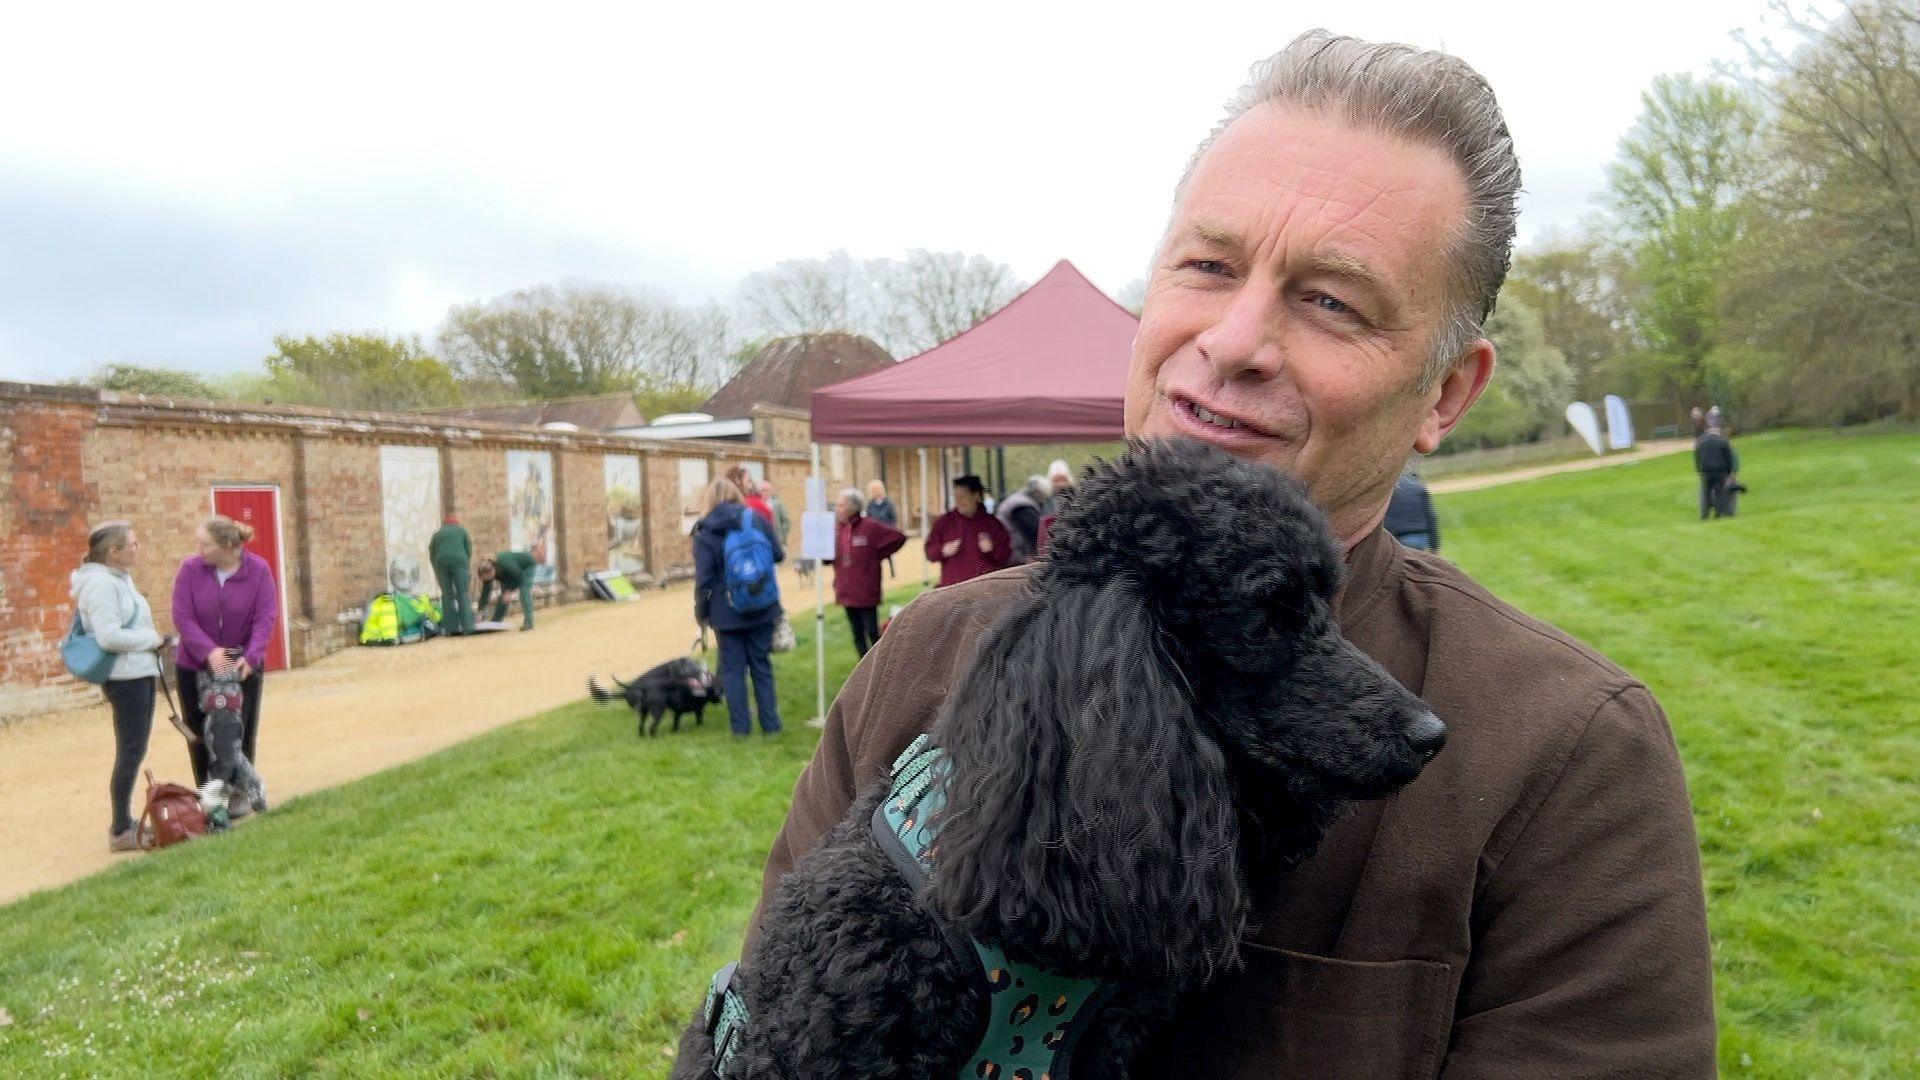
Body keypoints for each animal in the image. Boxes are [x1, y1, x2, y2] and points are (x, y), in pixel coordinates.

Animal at [583, 653, 721, 734]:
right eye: (688, 665)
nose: (703, 672)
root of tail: (629, 689)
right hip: (656, 711)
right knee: (652, 726)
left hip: (644, 712)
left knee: (641, 726)